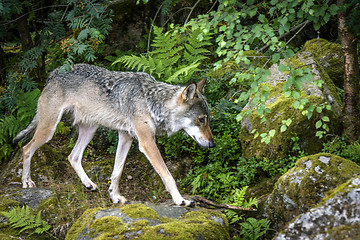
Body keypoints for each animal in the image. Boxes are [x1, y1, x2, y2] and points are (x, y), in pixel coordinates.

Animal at [14, 63, 215, 206]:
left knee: (72, 156)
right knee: (26, 149)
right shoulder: (147, 143)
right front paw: (181, 200)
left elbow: (117, 173)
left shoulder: (126, 137)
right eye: (201, 120)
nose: (213, 144)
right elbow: (168, 176)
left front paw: (115, 197)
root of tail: (54, 73)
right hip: (49, 130)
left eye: (207, 119)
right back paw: (26, 182)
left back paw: (88, 183)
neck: (152, 102)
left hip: (90, 130)